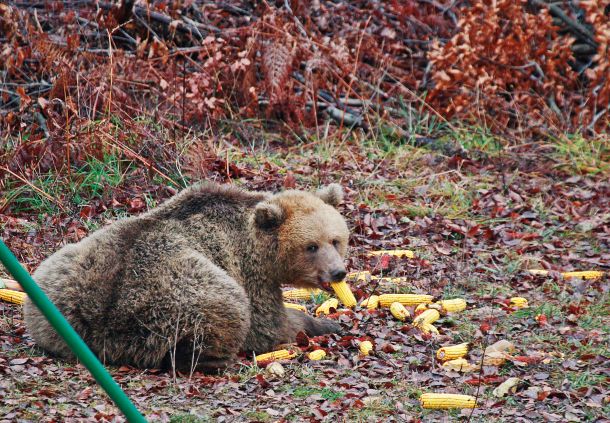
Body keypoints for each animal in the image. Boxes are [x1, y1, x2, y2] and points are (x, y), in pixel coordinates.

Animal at [23, 182, 346, 372]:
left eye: (336, 240)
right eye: (311, 246)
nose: (338, 271)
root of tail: (101, 326)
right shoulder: (247, 272)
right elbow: (267, 325)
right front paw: (323, 323)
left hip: (54, 284)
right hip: (177, 293)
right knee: (225, 308)